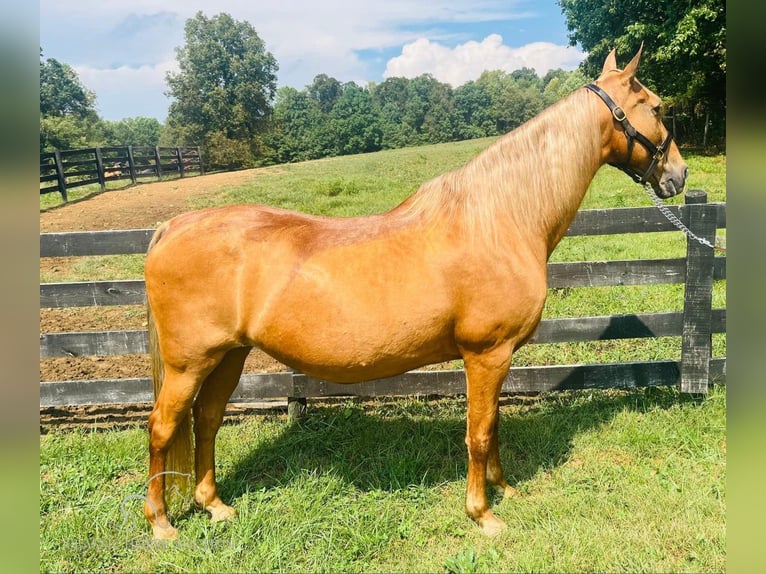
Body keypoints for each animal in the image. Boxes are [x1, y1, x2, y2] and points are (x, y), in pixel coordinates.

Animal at [142, 47, 688, 544]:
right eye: (658, 107)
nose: (679, 175)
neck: (500, 219)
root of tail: (172, 226)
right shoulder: (487, 354)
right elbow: (479, 432)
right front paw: (483, 514)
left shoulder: (498, 358)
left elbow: (492, 427)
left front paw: (504, 489)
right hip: (190, 364)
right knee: (163, 427)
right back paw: (162, 524)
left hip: (228, 357)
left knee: (207, 420)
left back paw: (214, 506)